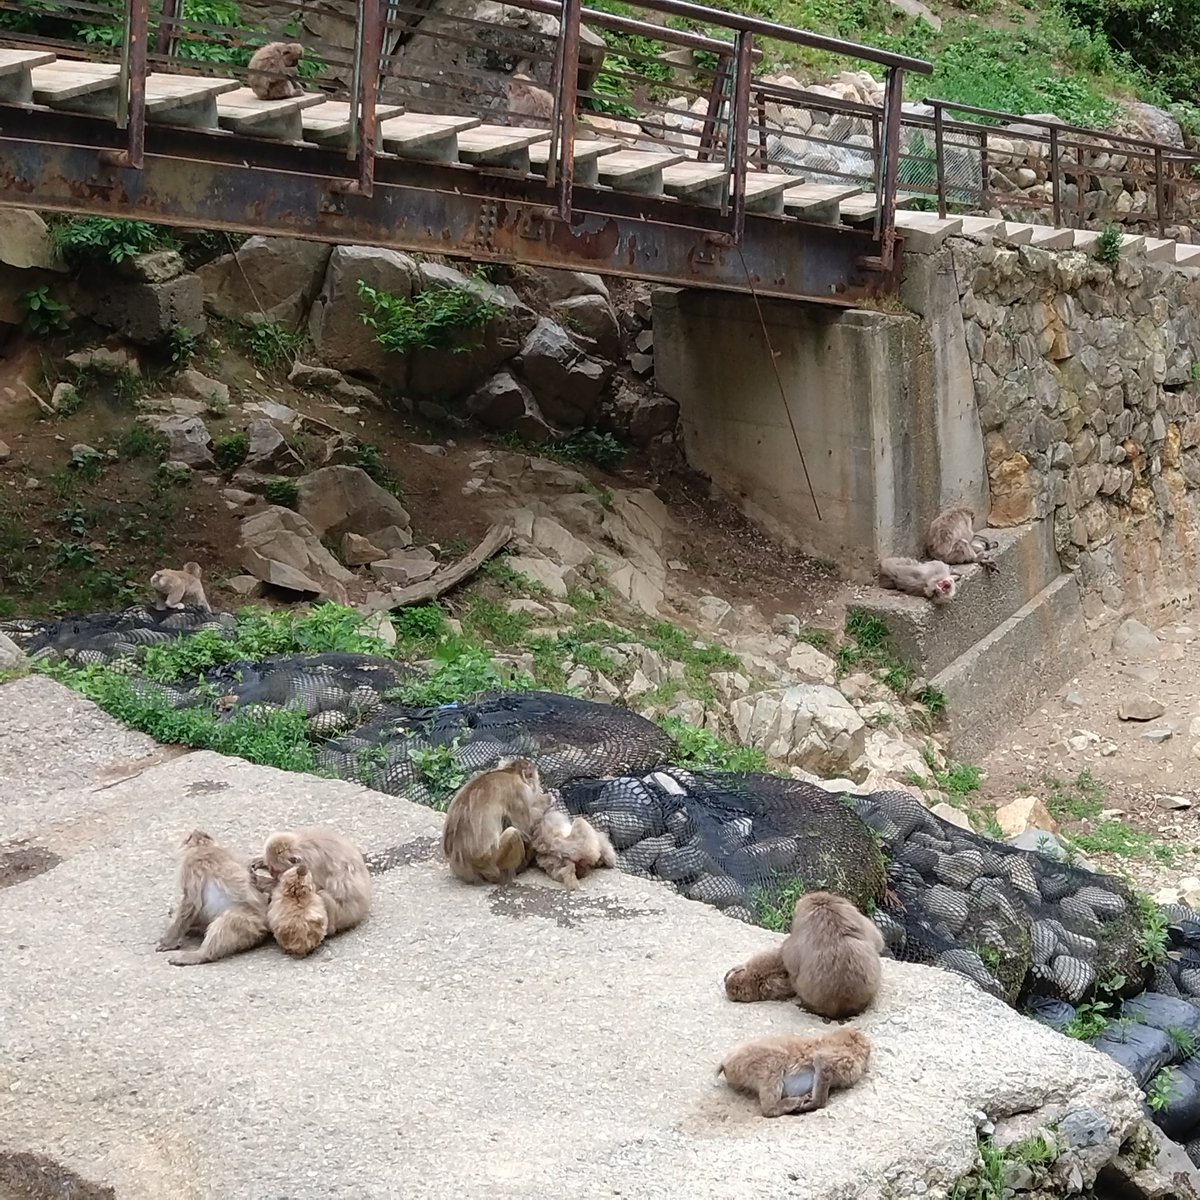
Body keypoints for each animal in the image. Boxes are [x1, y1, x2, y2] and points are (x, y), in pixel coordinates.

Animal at [156, 829, 270, 967]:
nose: (195, 830)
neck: (203, 846)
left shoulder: (190, 867)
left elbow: (191, 904)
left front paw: (168, 942)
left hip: (247, 923)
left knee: (225, 923)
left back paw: (198, 955)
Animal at [716, 1028, 872, 1117]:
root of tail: (725, 1062)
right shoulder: (841, 1057)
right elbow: (822, 1062)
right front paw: (814, 1104)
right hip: (750, 1060)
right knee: (775, 1060)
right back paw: (778, 1106)